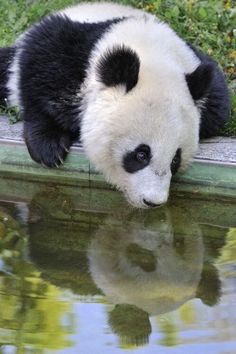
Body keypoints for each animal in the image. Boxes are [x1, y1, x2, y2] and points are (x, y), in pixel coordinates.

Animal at [0, 2, 230, 207]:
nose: (153, 202)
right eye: (141, 154)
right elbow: (39, 73)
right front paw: (49, 147)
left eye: (175, 159)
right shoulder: (67, 48)